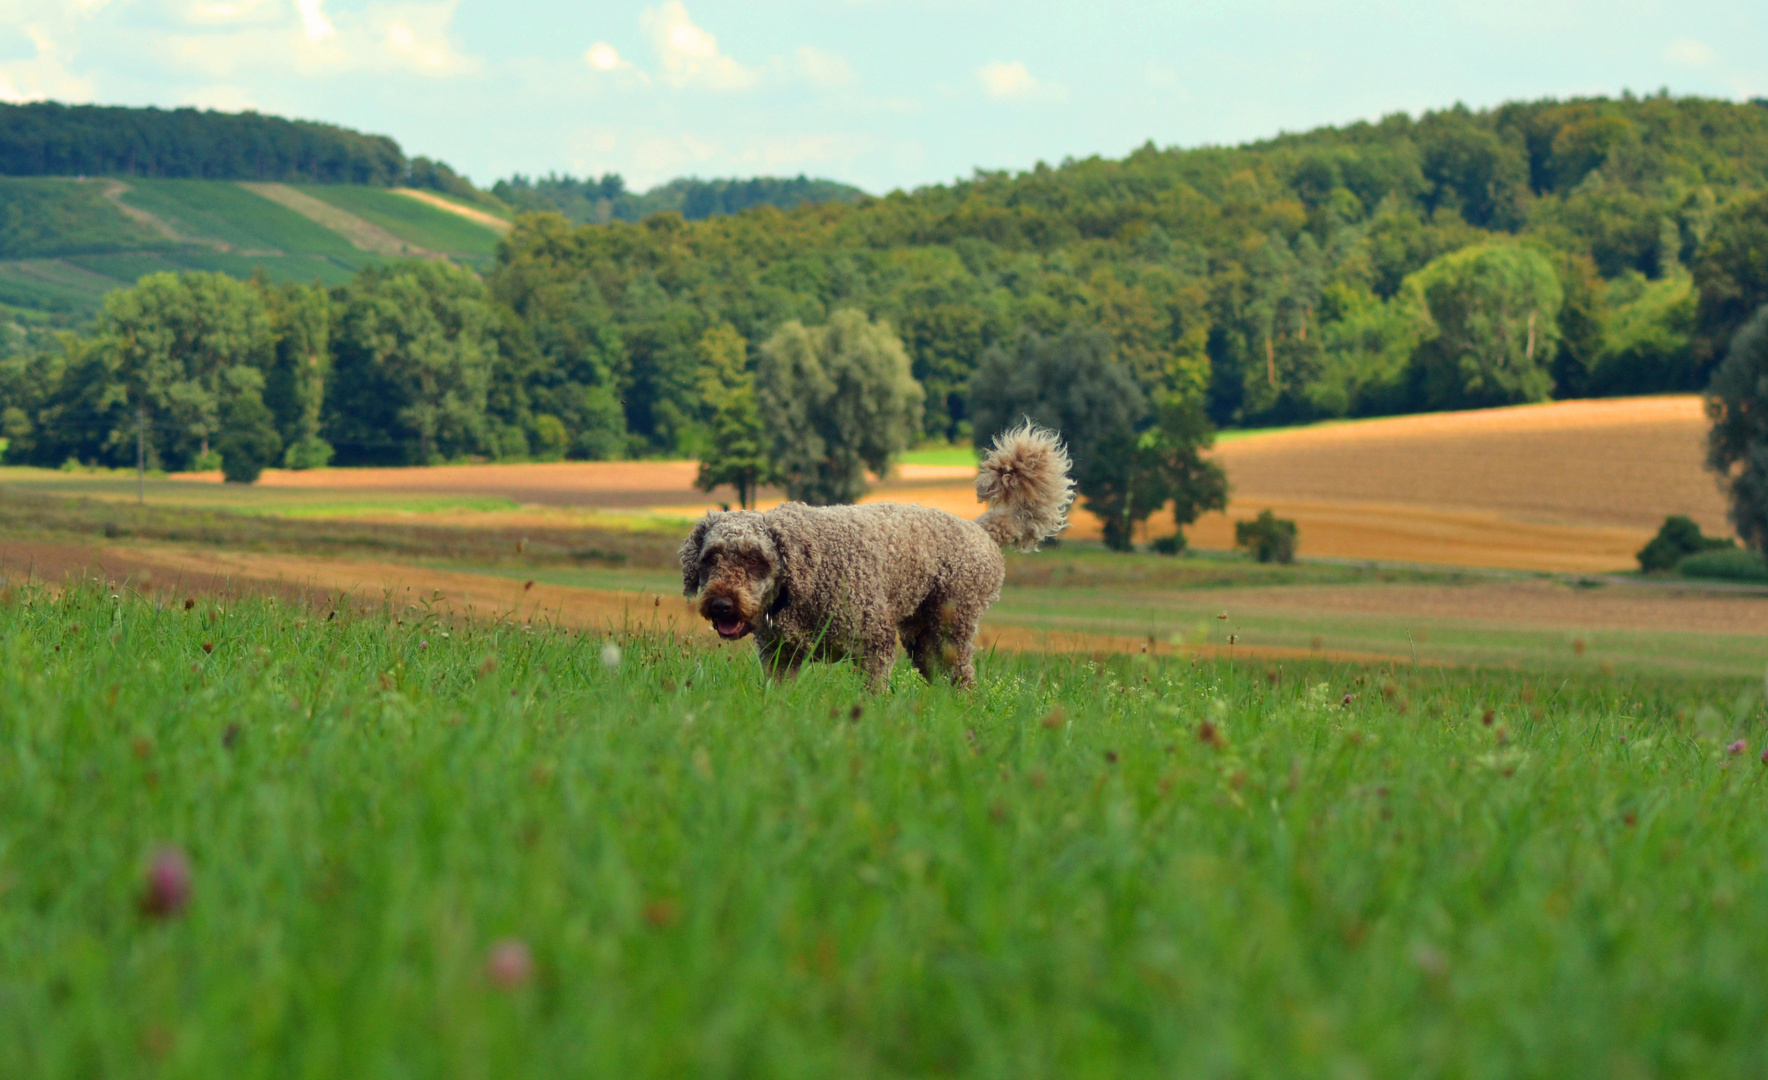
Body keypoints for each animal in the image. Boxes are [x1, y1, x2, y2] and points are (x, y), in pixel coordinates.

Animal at [675, 424, 1067, 692]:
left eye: (756, 559)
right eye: (711, 559)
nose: (722, 605)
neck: (803, 578)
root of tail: (979, 527)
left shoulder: (874, 643)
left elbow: (872, 694)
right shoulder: (780, 655)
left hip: (951, 627)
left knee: (964, 682)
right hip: (922, 638)